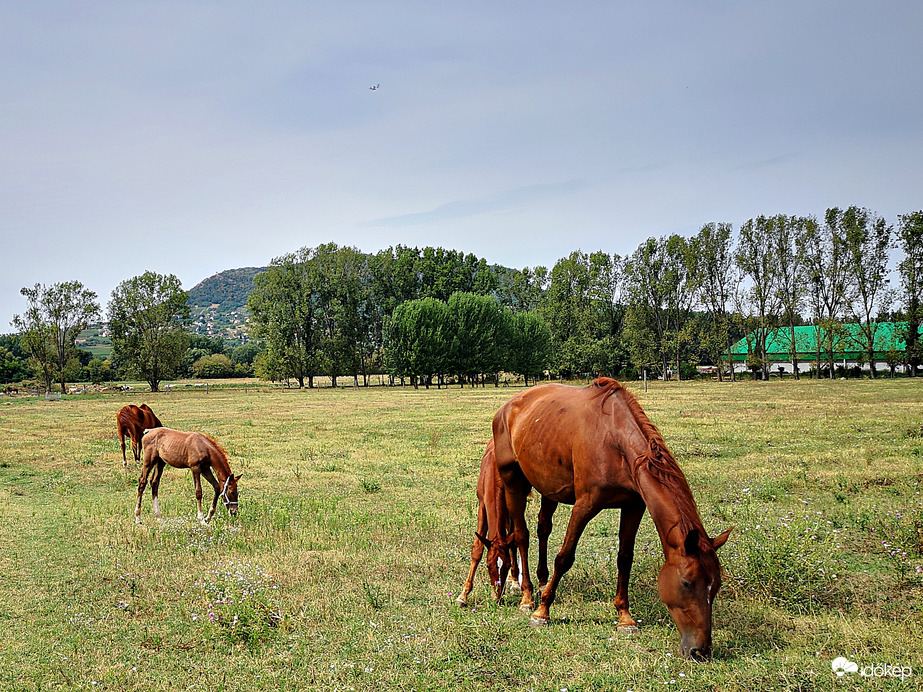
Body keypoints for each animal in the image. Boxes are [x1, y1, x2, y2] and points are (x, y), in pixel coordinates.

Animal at [494, 378, 732, 660]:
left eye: (715, 585)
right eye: (686, 583)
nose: (700, 651)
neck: (614, 442)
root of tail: (507, 407)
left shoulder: (633, 506)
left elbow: (624, 559)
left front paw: (625, 617)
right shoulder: (585, 505)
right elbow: (564, 557)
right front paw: (543, 612)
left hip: (548, 485)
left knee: (543, 528)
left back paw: (542, 581)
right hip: (512, 481)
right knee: (522, 535)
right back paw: (527, 596)